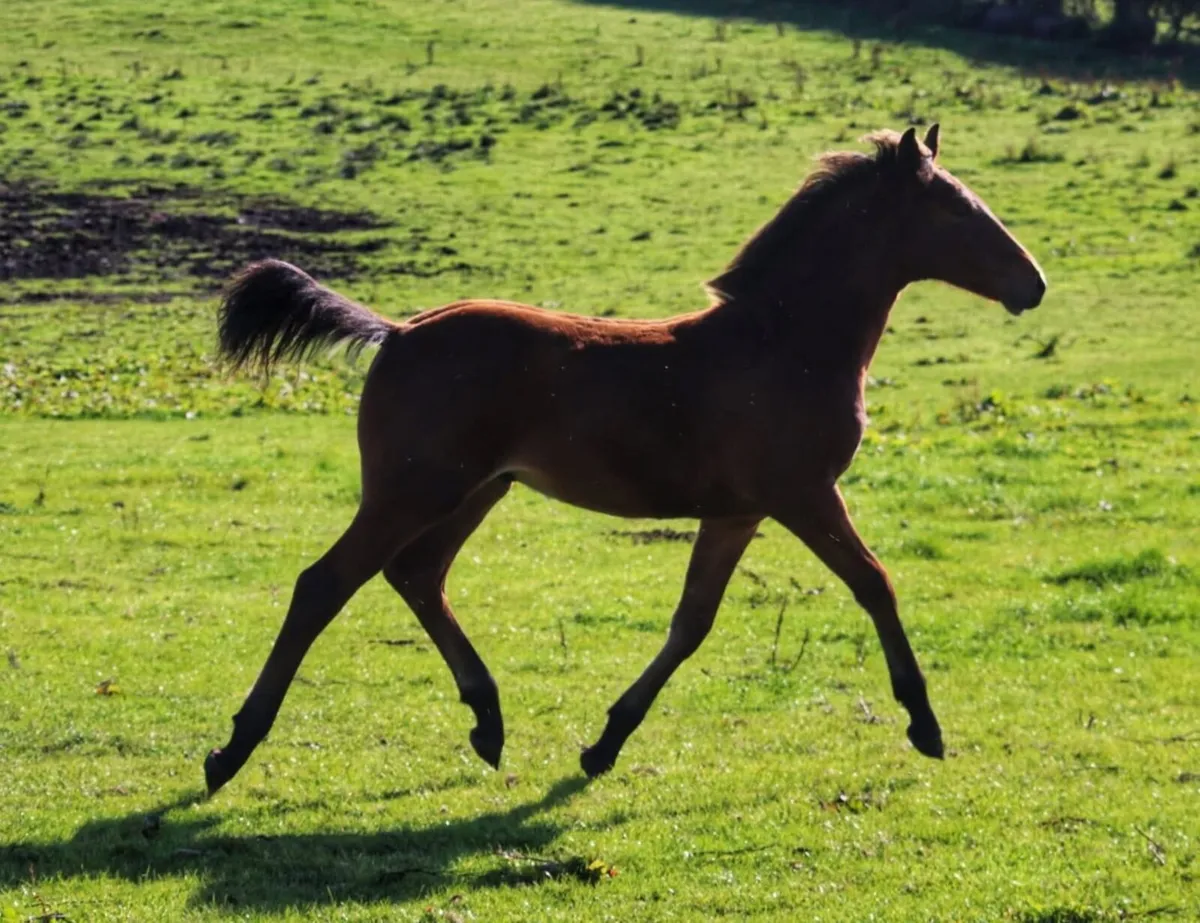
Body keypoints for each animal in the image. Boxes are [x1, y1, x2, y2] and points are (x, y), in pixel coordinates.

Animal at [204, 124, 1046, 795]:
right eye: (956, 207)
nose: (1032, 283)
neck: (785, 342)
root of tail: (398, 331)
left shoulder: (737, 511)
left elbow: (693, 621)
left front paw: (603, 743)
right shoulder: (803, 495)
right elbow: (875, 584)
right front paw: (925, 725)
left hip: (478, 490)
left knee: (417, 574)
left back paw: (487, 722)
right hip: (413, 488)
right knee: (324, 583)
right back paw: (232, 749)